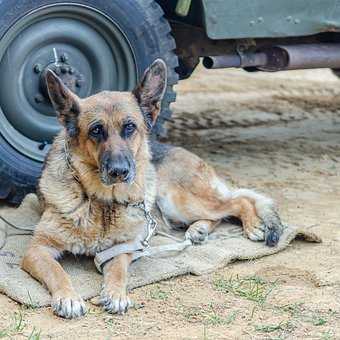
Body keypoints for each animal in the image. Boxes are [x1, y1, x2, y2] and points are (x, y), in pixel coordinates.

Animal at [21, 59, 284, 318]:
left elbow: (118, 272)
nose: (120, 171)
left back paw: (250, 225)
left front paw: (116, 294)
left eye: (130, 127)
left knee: (236, 202)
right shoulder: (38, 249)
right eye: (96, 130)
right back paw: (199, 230)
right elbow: (57, 272)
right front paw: (69, 298)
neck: (101, 202)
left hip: (178, 200)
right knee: (222, 211)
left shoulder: (124, 249)